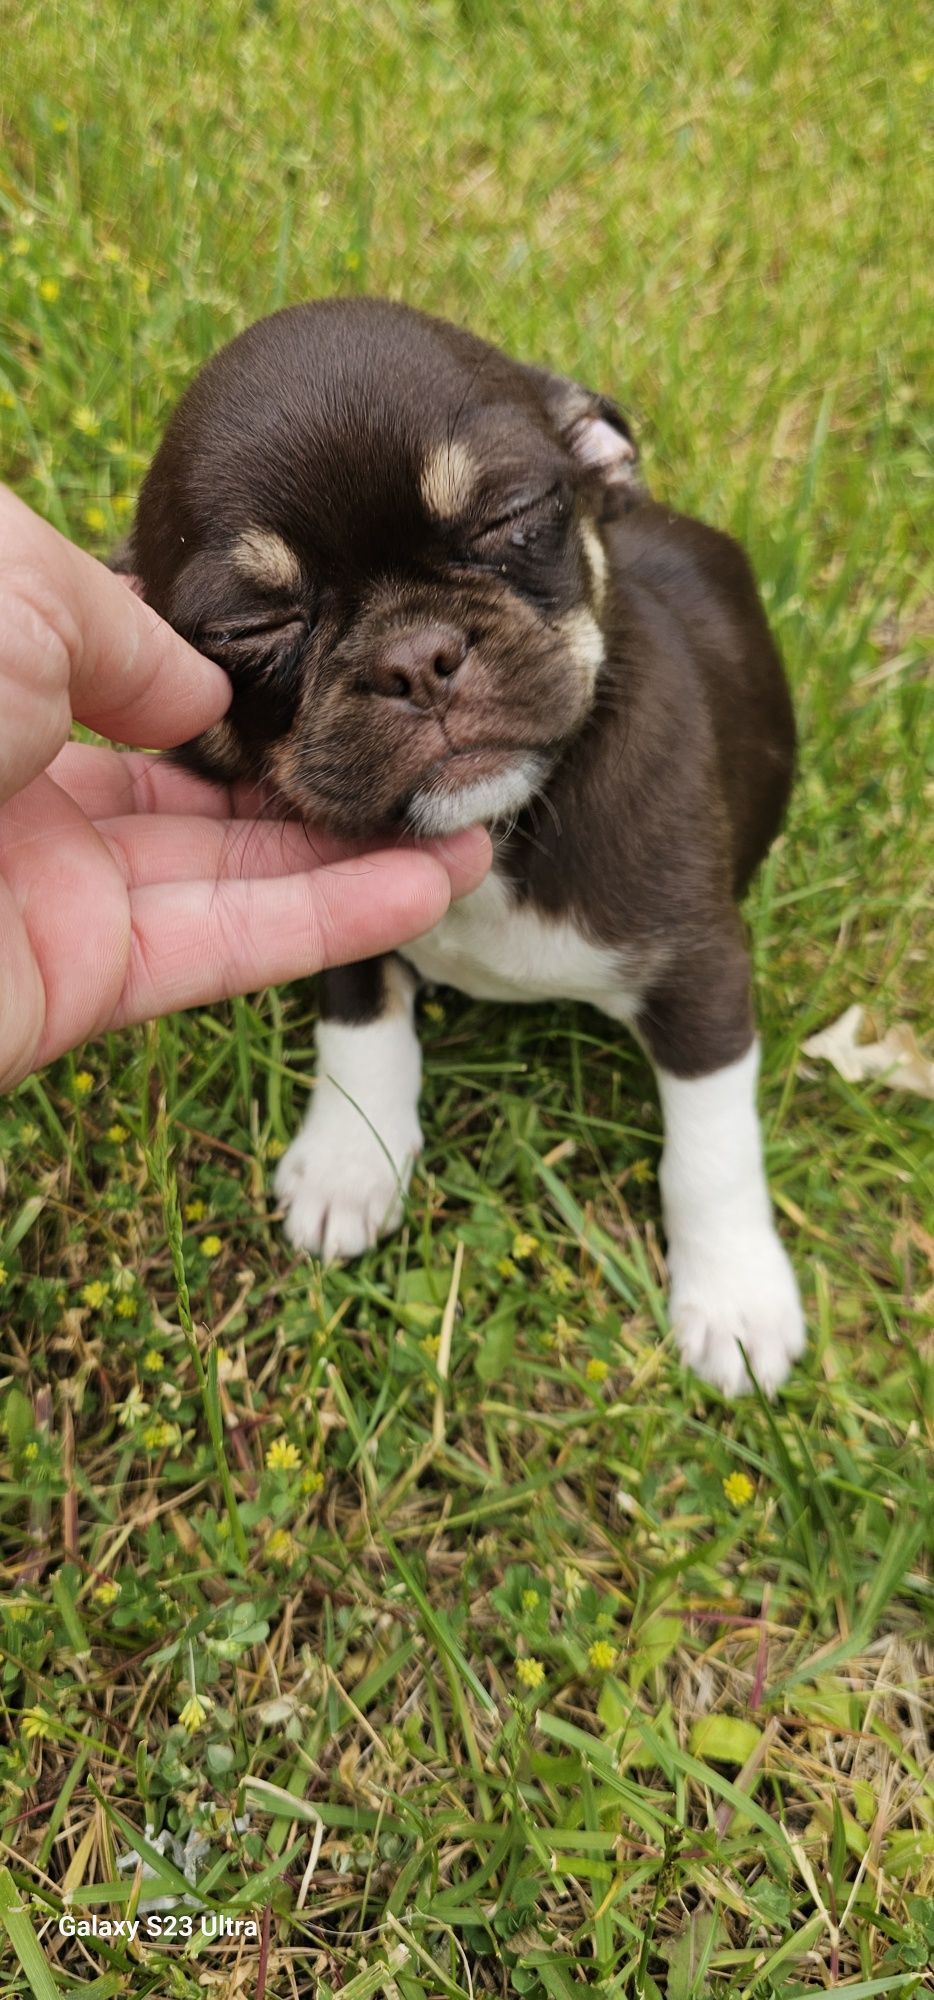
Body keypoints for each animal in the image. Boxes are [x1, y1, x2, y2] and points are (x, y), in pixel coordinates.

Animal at [117, 296, 804, 1400]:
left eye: (506, 515)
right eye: (252, 627)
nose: (415, 656)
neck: (500, 824)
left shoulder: (700, 974)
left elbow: (712, 1141)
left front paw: (737, 1297)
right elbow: (358, 1013)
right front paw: (350, 1159)